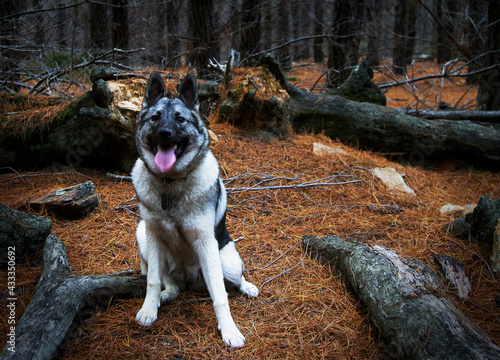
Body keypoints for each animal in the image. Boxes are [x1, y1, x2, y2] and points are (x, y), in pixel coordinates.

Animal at [131, 71, 260, 348]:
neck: (169, 183)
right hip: (142, 235)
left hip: (227, 261)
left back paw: (247, 287)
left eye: (180, 119)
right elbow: (152, 280)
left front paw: (230, 331)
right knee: (170, 282)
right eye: (155, 117)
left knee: (233, 280)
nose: (165, 133)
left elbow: (220, 296)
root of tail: (190, 278)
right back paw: (167, 294)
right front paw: (149, 309)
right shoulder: (153, 235)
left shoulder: (205, 242)